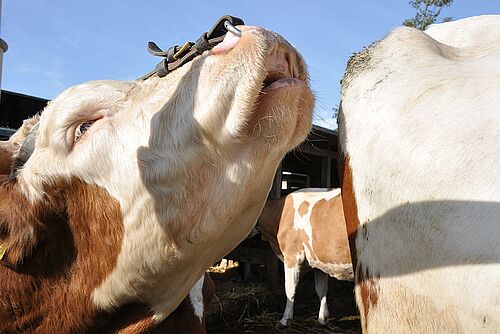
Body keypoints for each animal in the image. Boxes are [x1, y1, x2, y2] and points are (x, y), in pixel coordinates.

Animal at [256, 188, 354, 326]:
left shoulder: (292, 257)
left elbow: (290, 289)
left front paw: (285, 319)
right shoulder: (320, 261)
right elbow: (321, 289)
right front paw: (323, 317)